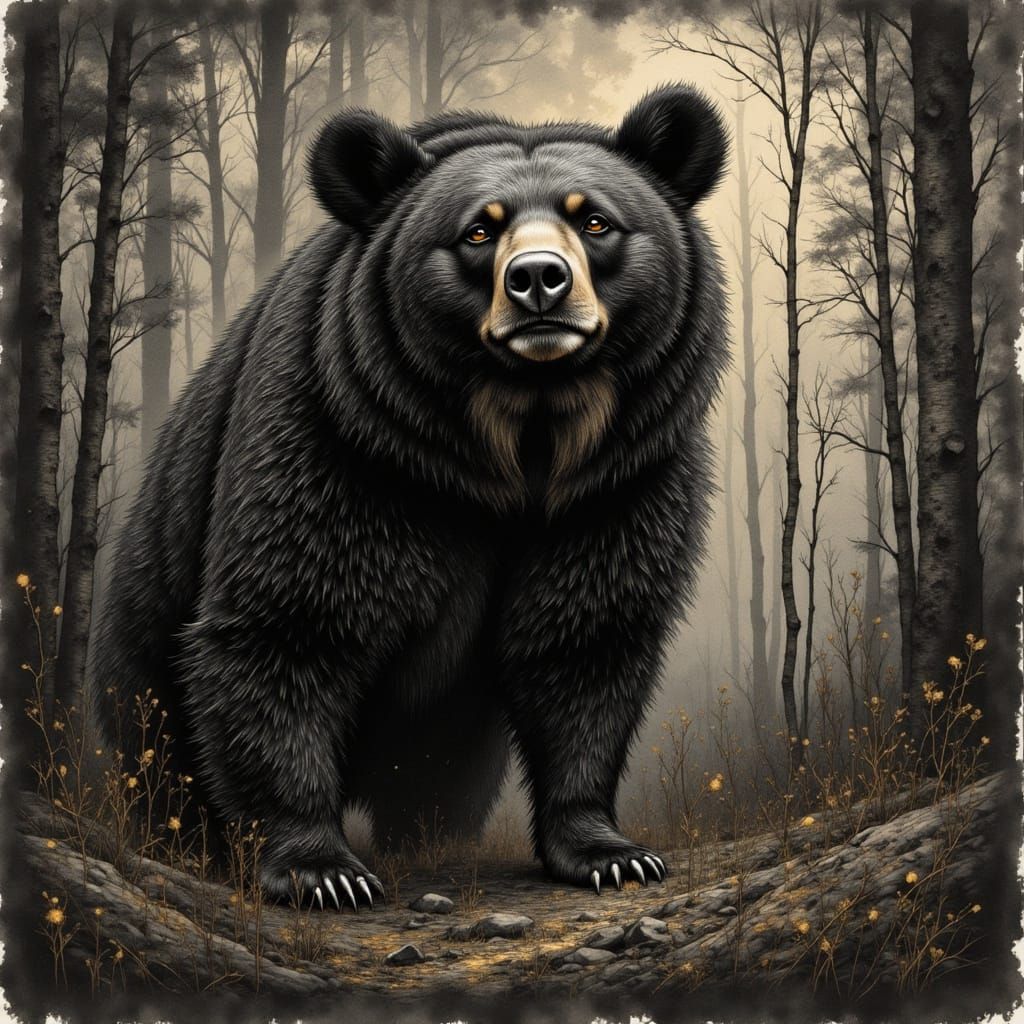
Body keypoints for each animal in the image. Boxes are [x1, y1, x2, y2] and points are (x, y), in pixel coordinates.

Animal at [94, 84, 729, 909]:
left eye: (595, 220)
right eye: (479, 230)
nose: (539, 280)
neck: (517, 439)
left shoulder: (623, 475)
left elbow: (586, 641)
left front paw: (608, 852)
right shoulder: (347, 450)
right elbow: (288, 627)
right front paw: (321, 870)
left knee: (444, 772)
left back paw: (427, 837)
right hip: (143, 631)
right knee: (156, 749)